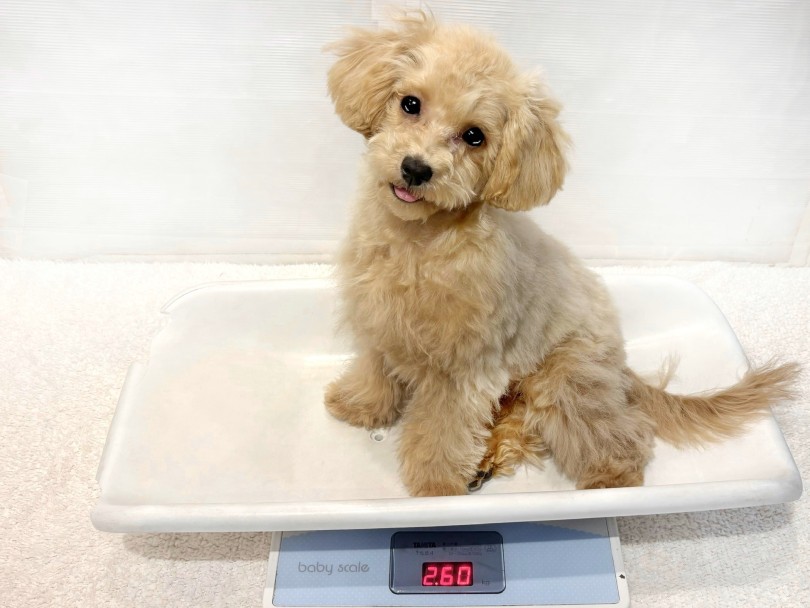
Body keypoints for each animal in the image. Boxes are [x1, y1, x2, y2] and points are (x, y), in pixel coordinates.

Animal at [323, 14, 798, 497]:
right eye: (411, 103)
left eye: (474, 136)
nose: (416, 169)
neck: (419, 244)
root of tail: (620, 362)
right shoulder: (379, 323)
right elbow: (375, 371)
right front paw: (359, 406)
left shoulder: (466, 369)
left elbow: (444, 428)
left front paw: (437, 485)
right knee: (522, 421)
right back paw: (487, 460)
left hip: (567, 379)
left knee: (619, 434)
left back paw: (610, 481)